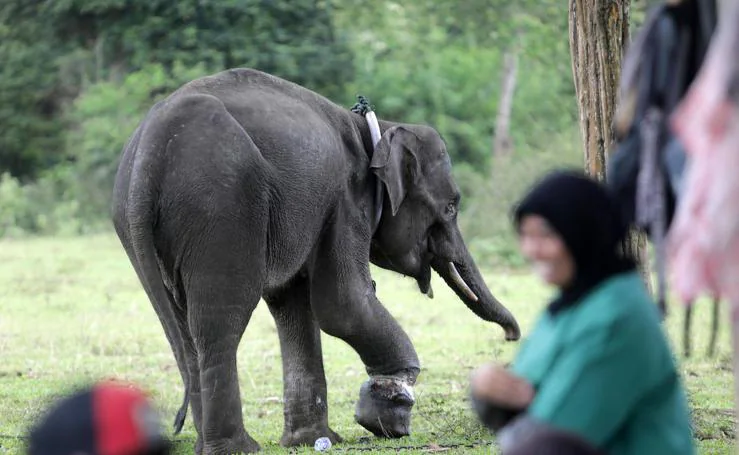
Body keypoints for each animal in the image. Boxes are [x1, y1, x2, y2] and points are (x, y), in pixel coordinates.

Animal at [112, 67, 524, 455]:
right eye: (452, 206)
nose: (511, 336)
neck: (373, 129)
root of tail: (150, 150)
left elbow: (294, 302)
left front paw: (312, 440)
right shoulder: (346, 200)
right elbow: (344, 304)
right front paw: (388, 419)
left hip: (137, 227)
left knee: (180, 327)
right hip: (221, 205)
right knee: (221, 319)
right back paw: (238, 448)